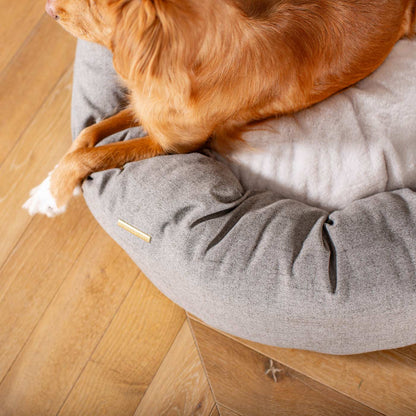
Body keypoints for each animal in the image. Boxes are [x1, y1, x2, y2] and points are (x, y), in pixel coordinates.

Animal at [23, 0, 416, 216]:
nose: (47, 8)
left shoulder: (175, 144)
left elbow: (89, 156)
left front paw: (50, 197)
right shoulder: (152, 109)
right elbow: (87, 135)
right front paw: (50, 183)